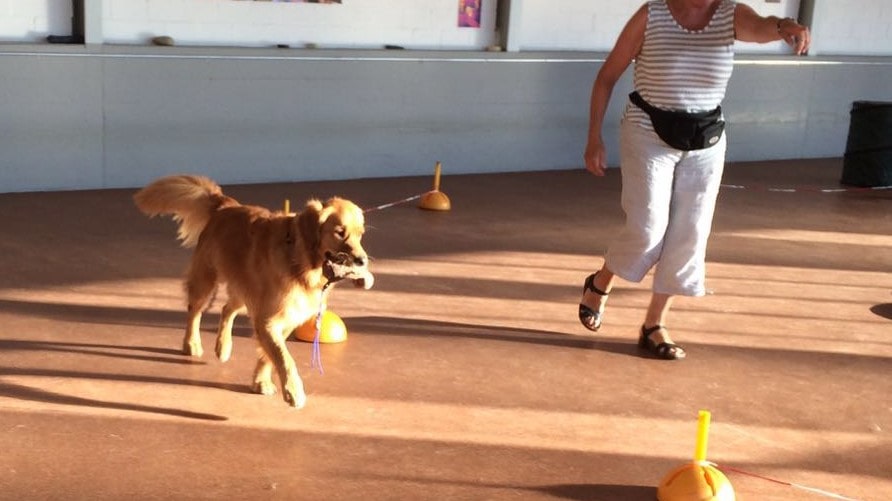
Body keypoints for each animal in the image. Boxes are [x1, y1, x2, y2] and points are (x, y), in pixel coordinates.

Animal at [134, 174, 373, 408]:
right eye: (340, 233)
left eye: (360, 235)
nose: (362, 261)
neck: (299, 260)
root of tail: (225, 205)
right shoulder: (268, 319)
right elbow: (284, 357)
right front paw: (294, 391)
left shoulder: (284, 318)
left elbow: (269, 355)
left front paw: (260, 382)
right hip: (206, 280)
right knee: (195, 310)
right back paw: (191, 343)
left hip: (245, 288)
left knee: (227, 308)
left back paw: (223, 346)